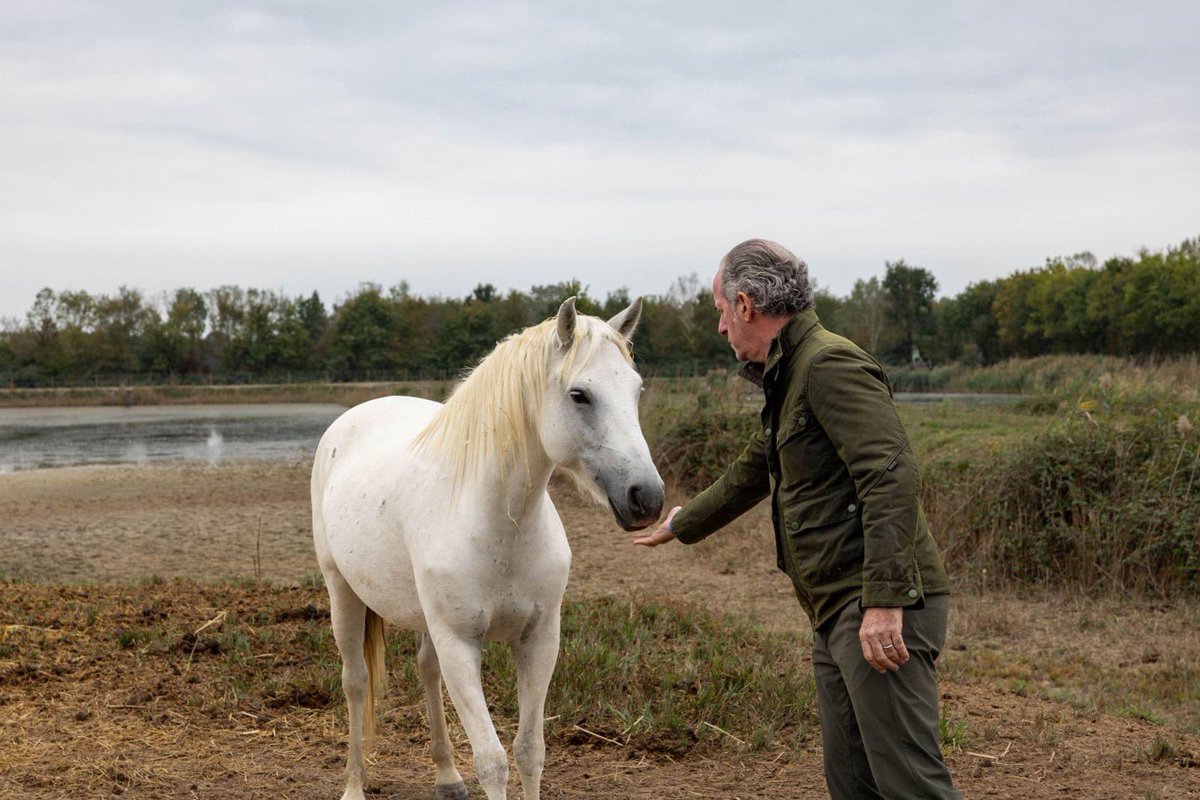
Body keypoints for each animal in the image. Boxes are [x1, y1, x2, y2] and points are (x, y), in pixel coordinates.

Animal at [311, 297, 664, 800]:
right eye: (580, 395)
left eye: (636, 391)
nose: (647, 498)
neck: (499, 528)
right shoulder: (461, 645)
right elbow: (493, 761)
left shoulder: (539, 639)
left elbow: (529, 751)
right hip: (342, 591)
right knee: (356, 681)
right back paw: (354, 786)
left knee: (426, 670)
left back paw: (447, 776)